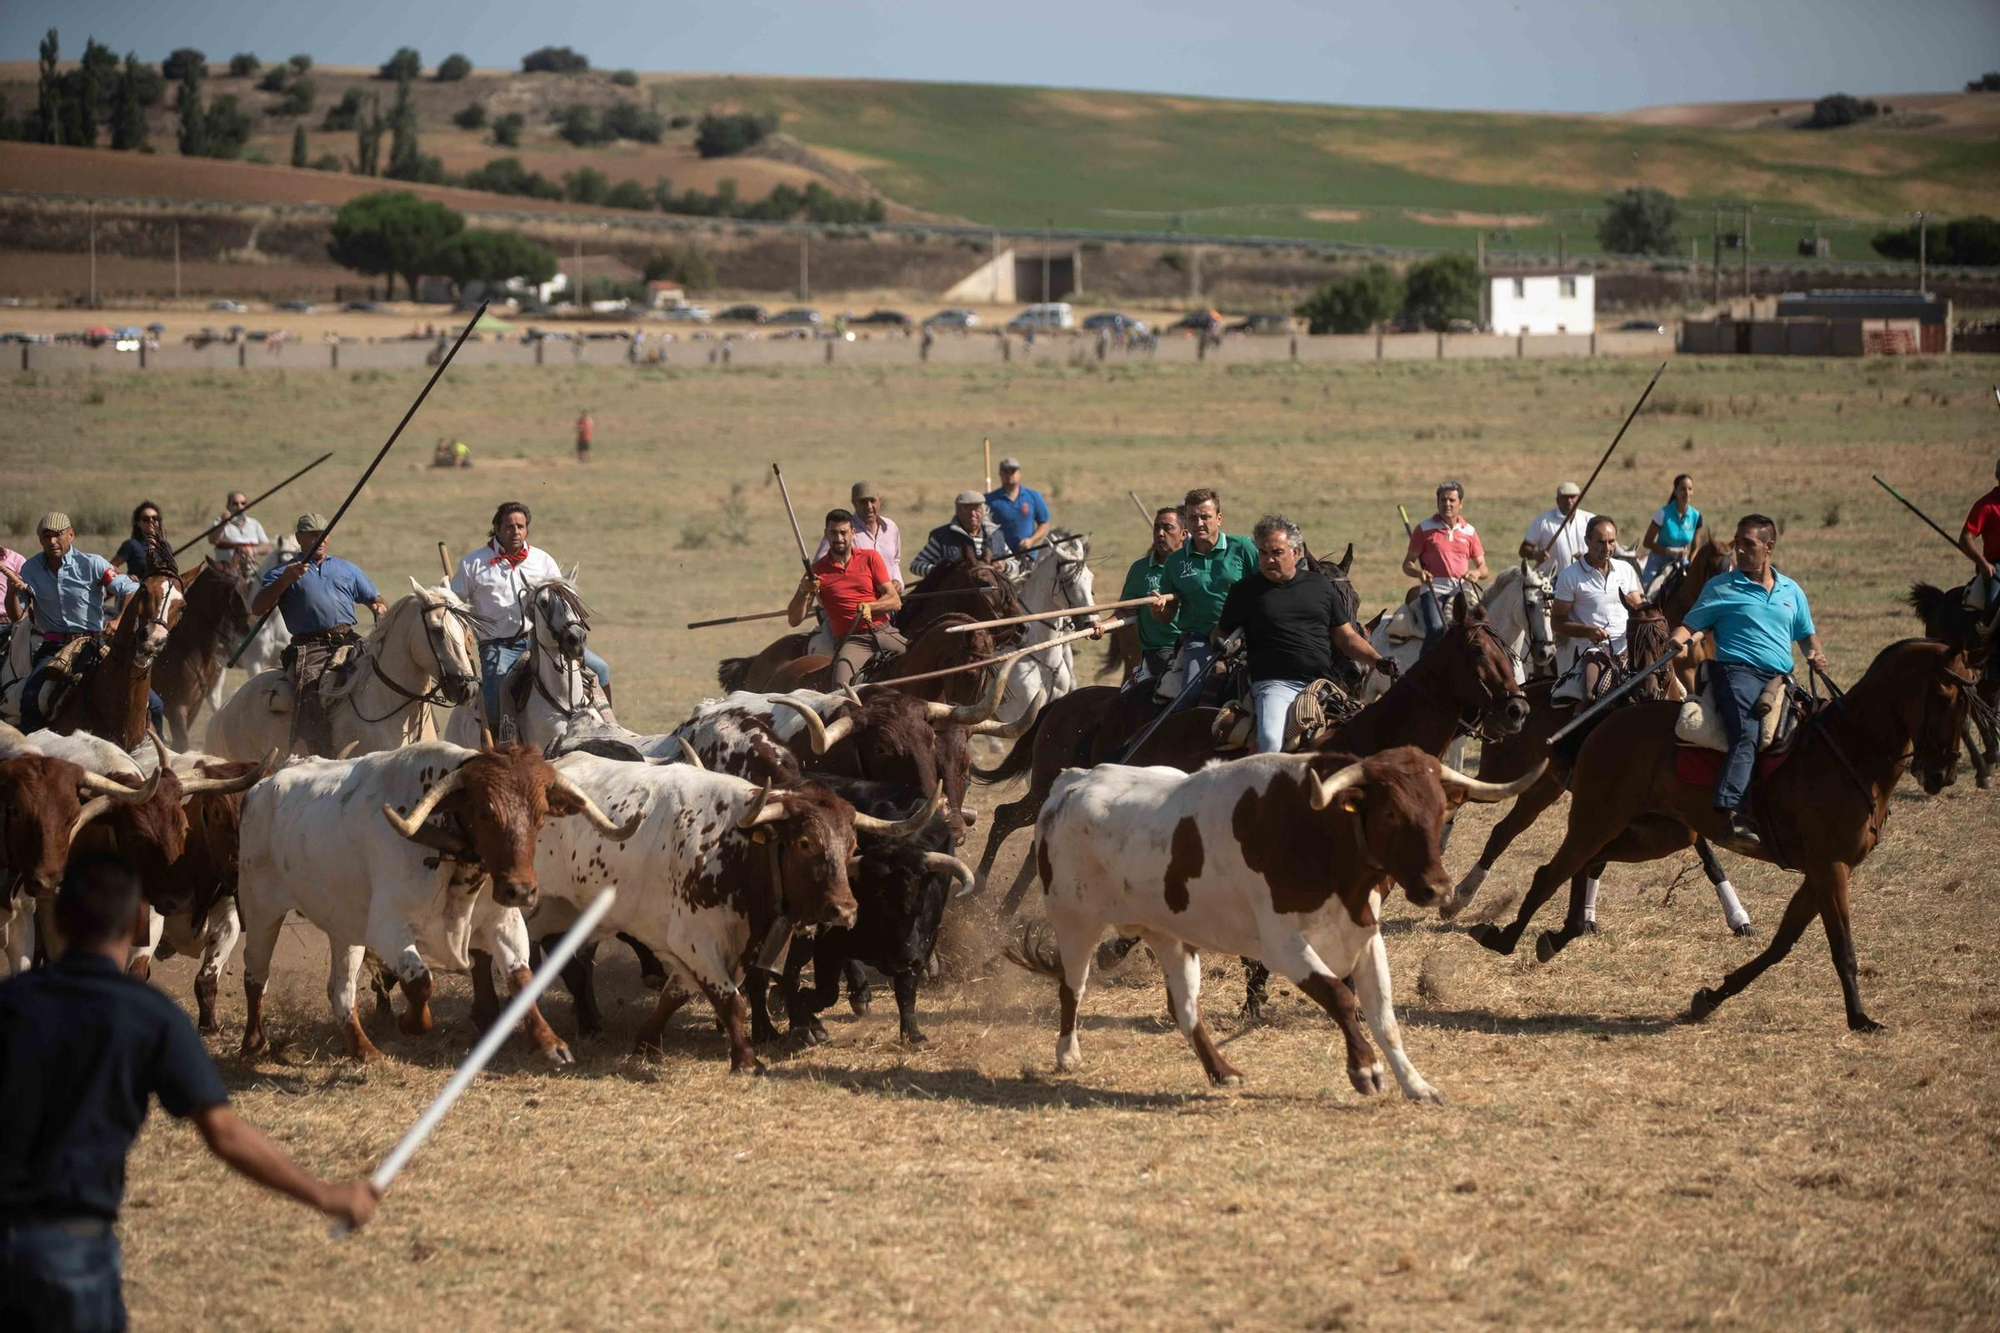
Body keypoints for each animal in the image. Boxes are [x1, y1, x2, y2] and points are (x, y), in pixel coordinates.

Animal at [234, 736, 640, 1056]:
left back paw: (365, 1051)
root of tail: (264, 785)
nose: (522, 890)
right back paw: (254, 1042)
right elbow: (420, 982)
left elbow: (522, 978)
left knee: (341, 991)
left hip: (344, 928)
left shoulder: (503, 924)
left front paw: (548, 1041)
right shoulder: (388, 929)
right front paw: (411, 1023)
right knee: (256, 975)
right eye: (485, 812)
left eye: (541, 815)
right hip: (260, 908)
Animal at [1024, 748, 1536, 1096]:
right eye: (1390, 811)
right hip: (1075, 921)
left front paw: (1414, 1084)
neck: (1321, 835)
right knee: (1071, 988)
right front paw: (1365, 1070)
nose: (1437, 888)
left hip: (1168, 935)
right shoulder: (1282, 945)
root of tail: (1071, 782)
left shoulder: (1365, 937)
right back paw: (1067, 1053)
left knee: (1184, 1008)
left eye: (1441, 810)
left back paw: (1222, 1071)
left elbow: (1383, 1015)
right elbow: (1341, 997)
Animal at [1440, 600, 1752, 932]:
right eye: (1632, 638)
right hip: (1504, 773)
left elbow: (1707, 857)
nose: (1647, 690)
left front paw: (1739, 919)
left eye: (1662, 636)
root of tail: (1517, 695)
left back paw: (1461, 897)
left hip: (1541, 789)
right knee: (1463, 792)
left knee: (1502, 831)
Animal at [1464, 632, 1976, 1024]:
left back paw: (1561, 932)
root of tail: (1608, 719)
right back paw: (1504, 937)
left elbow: (1781, 945)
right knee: (1550, 871)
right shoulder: (1831, 868)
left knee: (1585, 863)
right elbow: (1841, 947)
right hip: (1597, 817)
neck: (1850, 752)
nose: (1943, 773)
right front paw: (1860, 1018)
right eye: (1944, 696)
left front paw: (1711, 996)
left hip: (1658, 833)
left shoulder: (1822, 872)